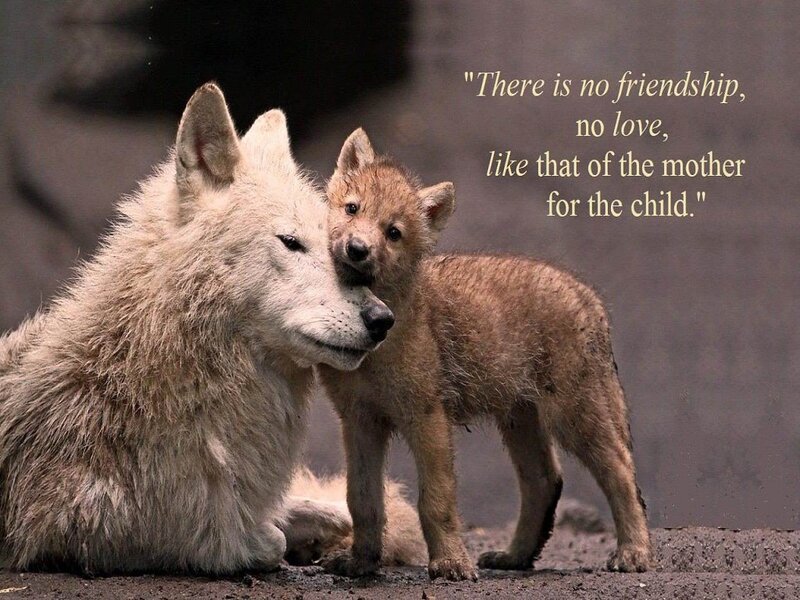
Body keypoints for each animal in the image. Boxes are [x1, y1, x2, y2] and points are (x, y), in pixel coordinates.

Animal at [317, 129, 653, 581]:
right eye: (352, 208)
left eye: (393, 233)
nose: (357, 249)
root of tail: (591, 299)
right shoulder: (360, 421)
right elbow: (362, 499)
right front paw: (359, 562)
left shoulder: (427, 417)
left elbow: (436, 500)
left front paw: (449, 563)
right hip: (520, 417)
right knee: (544, 481)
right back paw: (515, 557)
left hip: (574, 413)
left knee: (620, 471)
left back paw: (633, 553)